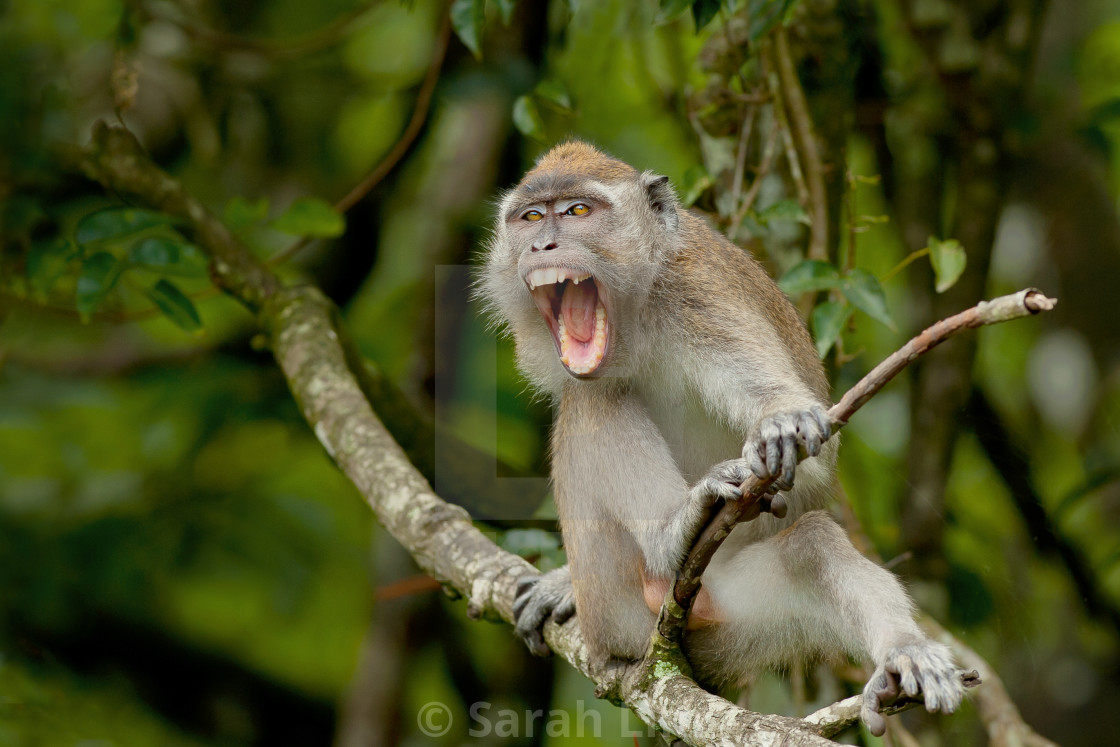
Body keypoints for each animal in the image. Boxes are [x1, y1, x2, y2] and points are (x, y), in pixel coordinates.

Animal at [477, 141, 967, 734]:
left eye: (577, 212)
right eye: (530, 217)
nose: (542, 244)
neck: (638, 311)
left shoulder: (698, 298)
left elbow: (811, 447)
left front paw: (782, 420)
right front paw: (555, 585)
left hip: (691, 615)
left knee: (807, 543)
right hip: (619, 609)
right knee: (596, 396)